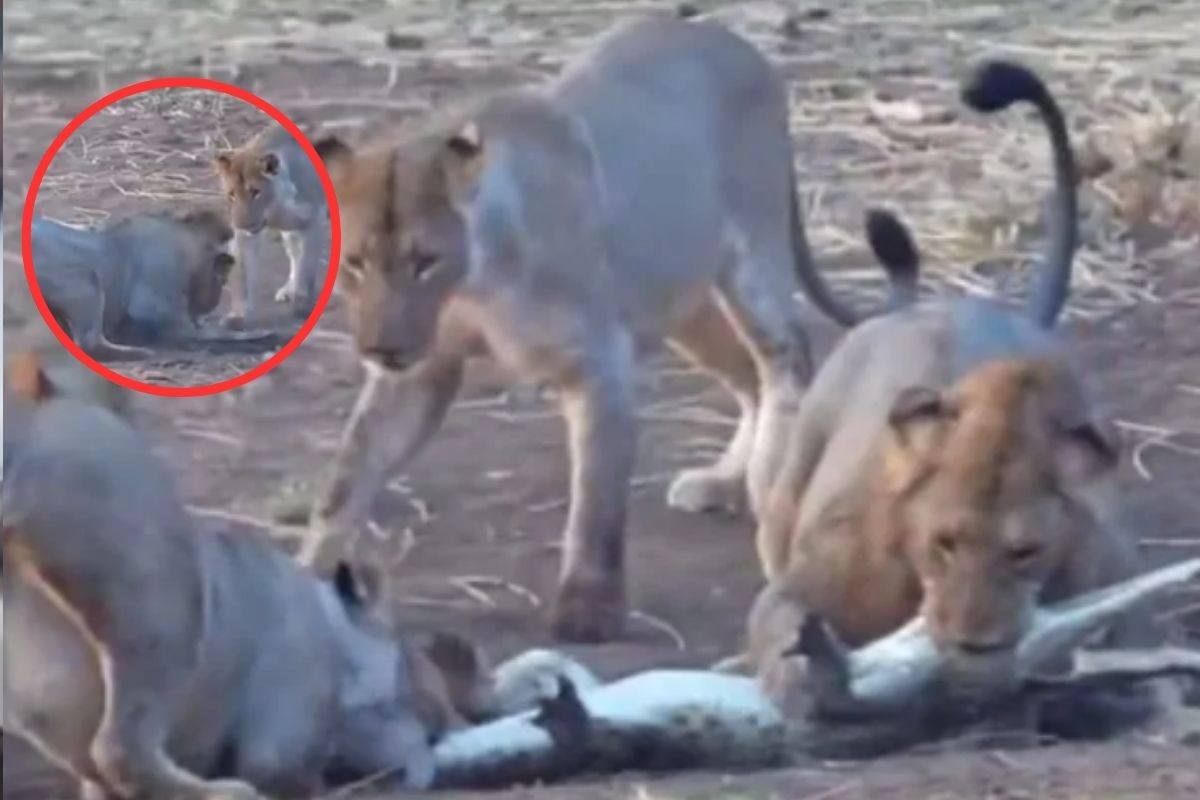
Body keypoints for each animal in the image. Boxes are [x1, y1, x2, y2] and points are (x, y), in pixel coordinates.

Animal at [29, 210, 270, 361]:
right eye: (221, 278)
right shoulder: (156, 308)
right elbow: (211, 334)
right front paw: (258, 336)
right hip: (88, 283)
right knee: (90, 343)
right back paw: (139, 352)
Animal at [212, 125, 328, 323]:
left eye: (256, 192)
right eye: (232, 194)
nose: (244, 224)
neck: (275, 207)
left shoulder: (313, 219)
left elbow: (307, 264)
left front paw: (303, 302)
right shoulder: (245, 235)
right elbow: (243, 272)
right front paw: (239, 315)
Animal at [300, 14, 911, 643]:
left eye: (425, 260)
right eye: (355, 262)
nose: (380, 346)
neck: (475, 284)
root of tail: (731, 39)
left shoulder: (599, 363)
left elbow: (596, 498)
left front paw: (589, 609)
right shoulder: (421, 369)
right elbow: (349, 473)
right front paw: (309, 575)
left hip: (752, 260)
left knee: (786, 358)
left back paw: (769, 482)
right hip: (682, 298)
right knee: (747, 376)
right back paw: (723, 483)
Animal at [744, 60, 1153, 707]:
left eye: (1024, 552)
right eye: (944, 543)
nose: (973, 643)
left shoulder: (1115, 575)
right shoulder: (815, 576)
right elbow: (776, 615)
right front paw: (801, 676)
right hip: (788, 493)